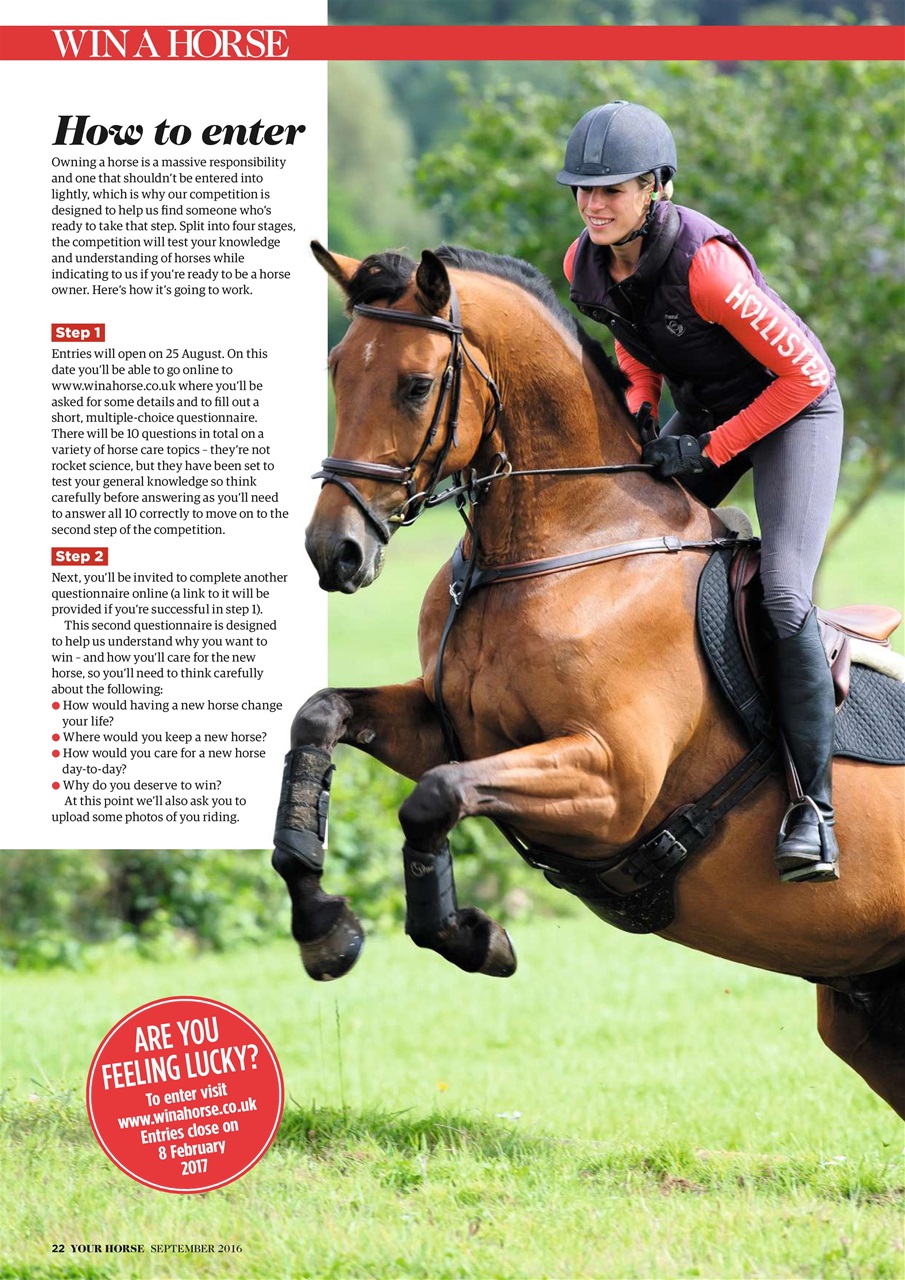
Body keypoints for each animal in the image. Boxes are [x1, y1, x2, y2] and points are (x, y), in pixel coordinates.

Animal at [272, 240, 905, 1118]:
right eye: (337, 371)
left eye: (416, 385)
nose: (334, 551)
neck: (566, 547)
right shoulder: (446, 724)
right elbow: (320, 717)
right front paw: (322, 925)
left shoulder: (611, 784)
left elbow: (434, 796)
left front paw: (471, 935)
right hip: (865, 1008)